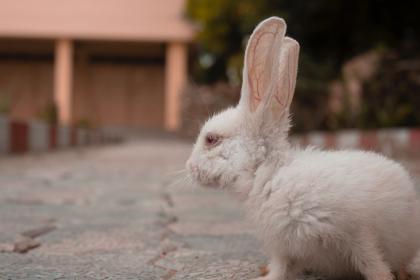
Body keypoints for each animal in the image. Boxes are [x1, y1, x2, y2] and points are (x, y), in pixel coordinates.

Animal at [186, 17, 420, 280]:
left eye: (211, 139)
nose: (189, 167)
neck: (270, 175)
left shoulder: (358, 233)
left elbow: (371, 262)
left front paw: (383, 277)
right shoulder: (282, 247)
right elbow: (280, 267)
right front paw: (268, 276)